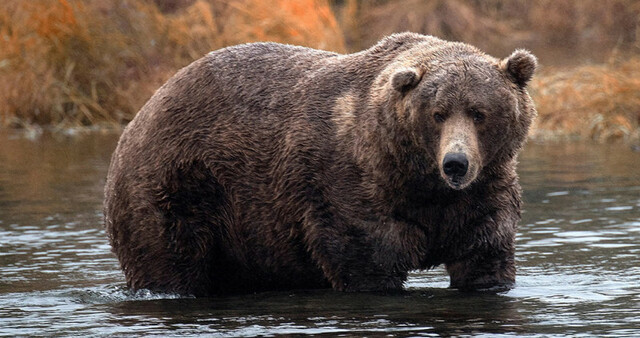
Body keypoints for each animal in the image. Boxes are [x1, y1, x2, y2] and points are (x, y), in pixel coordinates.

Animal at [104, 32, 536, 296]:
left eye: (479, 112)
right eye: (437, 113)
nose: (456, 163)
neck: (415, 179)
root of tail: (140, 115)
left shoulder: (482, 193)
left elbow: (484, 254)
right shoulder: (350, 187)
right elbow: (368, 259)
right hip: (179, 186)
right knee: (170, 259)